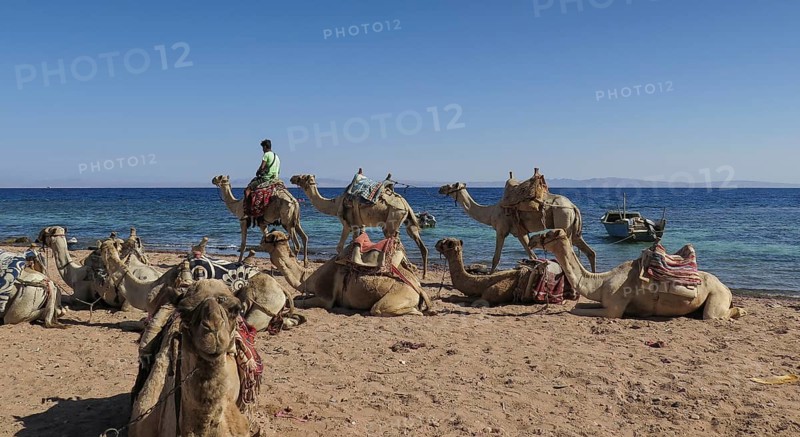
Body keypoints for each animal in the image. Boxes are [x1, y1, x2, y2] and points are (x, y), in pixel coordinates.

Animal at [260, 230, 432, 316]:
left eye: (267, 238)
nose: (260, 240)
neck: (308, 278)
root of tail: (417, 286)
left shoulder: (326, 297)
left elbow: (299, 302)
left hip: (398, 296)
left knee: (380, 309)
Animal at [291, 173, 428, 278]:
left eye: (302, 176)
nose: (292, 178)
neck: (335, 203)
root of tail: (406, 205)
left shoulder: (347, 224)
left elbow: (340, 247)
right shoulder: (358, 225)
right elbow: (355, 242)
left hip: (393, 217)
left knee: (396, 241)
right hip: (407, 221)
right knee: (417, 243)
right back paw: (420, 273)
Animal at [438, 182, 596, 273]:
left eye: (451, 185)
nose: (440, 189)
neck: (490, 212)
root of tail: (573, 207)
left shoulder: (501, 230)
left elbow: (496, 258)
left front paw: (490, 275)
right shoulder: (520, 233)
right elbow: (532, 255)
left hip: (562, 219)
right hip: (573, 230)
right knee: (590, 252)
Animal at [535, 229, 746, 319]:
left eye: (549, 233)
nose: (533, 238)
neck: (601, 282)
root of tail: (725, 287)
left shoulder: (614, 309)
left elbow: (573, 309)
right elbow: (578, 305)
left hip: (717, 295)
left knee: (712, 316)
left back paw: (741, 311)